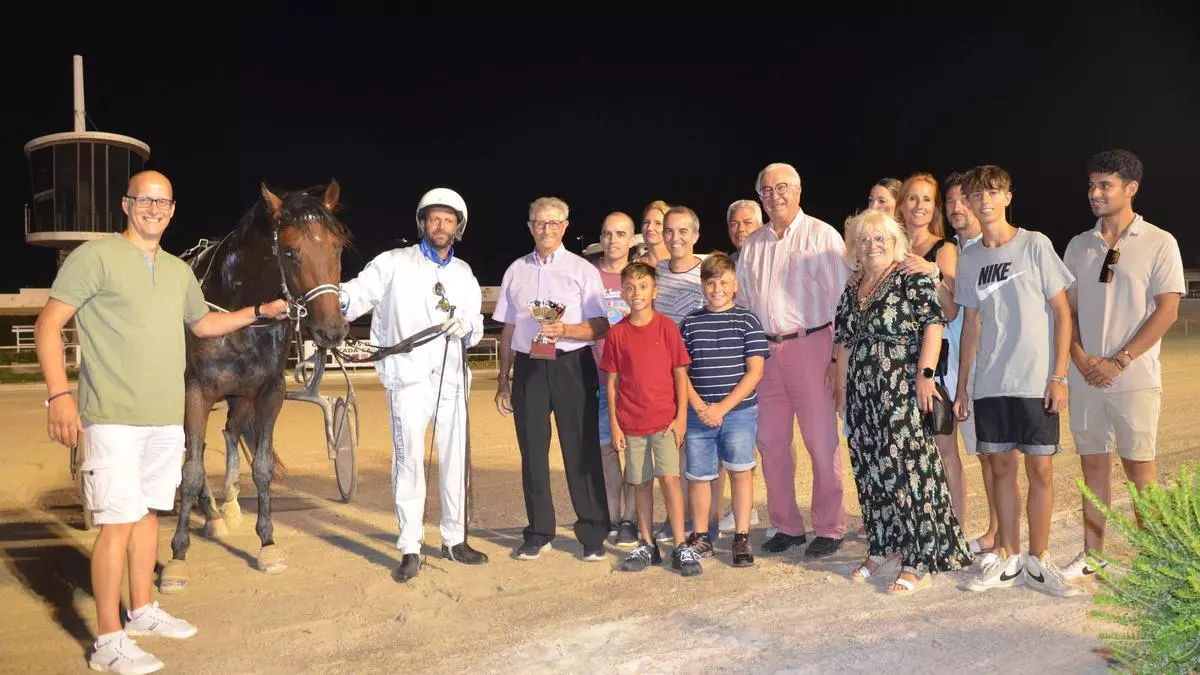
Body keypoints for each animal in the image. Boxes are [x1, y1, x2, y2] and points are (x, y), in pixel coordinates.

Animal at [161, 181, 350, 593]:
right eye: (291, 251)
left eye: (336, 247)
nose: (333, 329)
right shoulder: (196, 391)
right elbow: (191, 470)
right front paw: (177, 556)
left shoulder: (267, 392)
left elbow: (262, 466)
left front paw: (267, 542)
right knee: (194, 450)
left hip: (239, 396)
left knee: (229, 433)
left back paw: (224, 508)